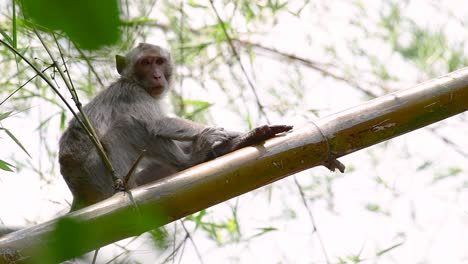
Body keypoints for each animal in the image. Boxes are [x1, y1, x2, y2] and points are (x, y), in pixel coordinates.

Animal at [58, 42, 292, 210]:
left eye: (159, 61)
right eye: (145, 63)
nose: (156, 75)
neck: (134, 81)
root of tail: (78, 194)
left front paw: (234, 140)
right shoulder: (134, 94)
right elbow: (157, 124)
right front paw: (238, 133)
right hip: (106, 177)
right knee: (127, 126)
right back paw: (190, 160)